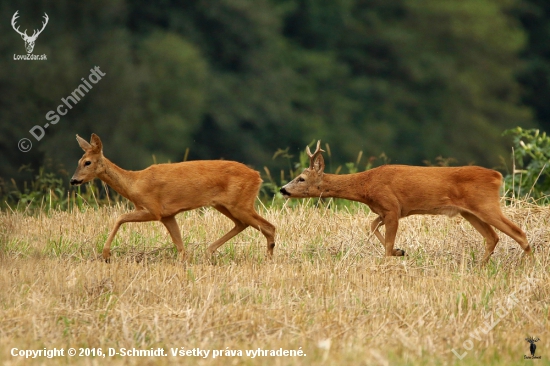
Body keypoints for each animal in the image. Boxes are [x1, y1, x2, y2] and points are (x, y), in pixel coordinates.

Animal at [70, 133, 276, 262]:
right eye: (78, 161)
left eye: (87, 162)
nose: (73, 180)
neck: (134, 184)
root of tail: (258, 176)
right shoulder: (168, 215)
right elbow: (180, 247)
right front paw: (183, 263)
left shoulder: (153, 209)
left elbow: (120, 217)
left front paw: (106, 255)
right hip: (225, 205)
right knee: (243, 224)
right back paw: (209, 251)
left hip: (240, 203)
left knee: (269, 226)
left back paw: (268, 258)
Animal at [282, 140, 532, 264]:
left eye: (301, 178)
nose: (283, 189)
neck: (366, 185)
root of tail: (496, 176)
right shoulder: (386, 210)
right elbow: (372, 226)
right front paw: (400, 251)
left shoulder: (391, 207)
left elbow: (386, 242)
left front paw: (391, 257)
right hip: (469, 211)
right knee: (492, 237)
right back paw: (480, 266)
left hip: (485, 204)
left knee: (518, 232)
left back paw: (527, 264)